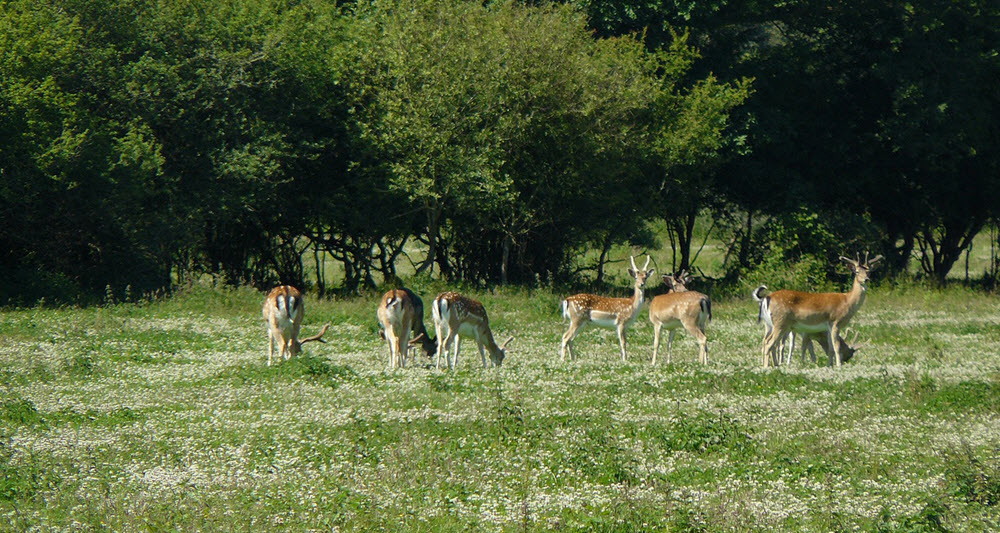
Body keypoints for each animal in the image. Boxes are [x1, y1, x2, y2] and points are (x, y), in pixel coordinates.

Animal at [756, 252, 884, 366]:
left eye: (869, 271)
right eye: (857, 271)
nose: (866, 279)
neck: (847, 302)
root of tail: (767, 297)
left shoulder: (827, 327)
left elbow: (830, 348)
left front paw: (830, 365)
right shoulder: (835, 321)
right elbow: (837, 346)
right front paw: (838, 366)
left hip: (775, 324)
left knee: (768, 342)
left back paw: (775, 365)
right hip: (780, 322)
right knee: (769, 344)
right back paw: (767, 367)